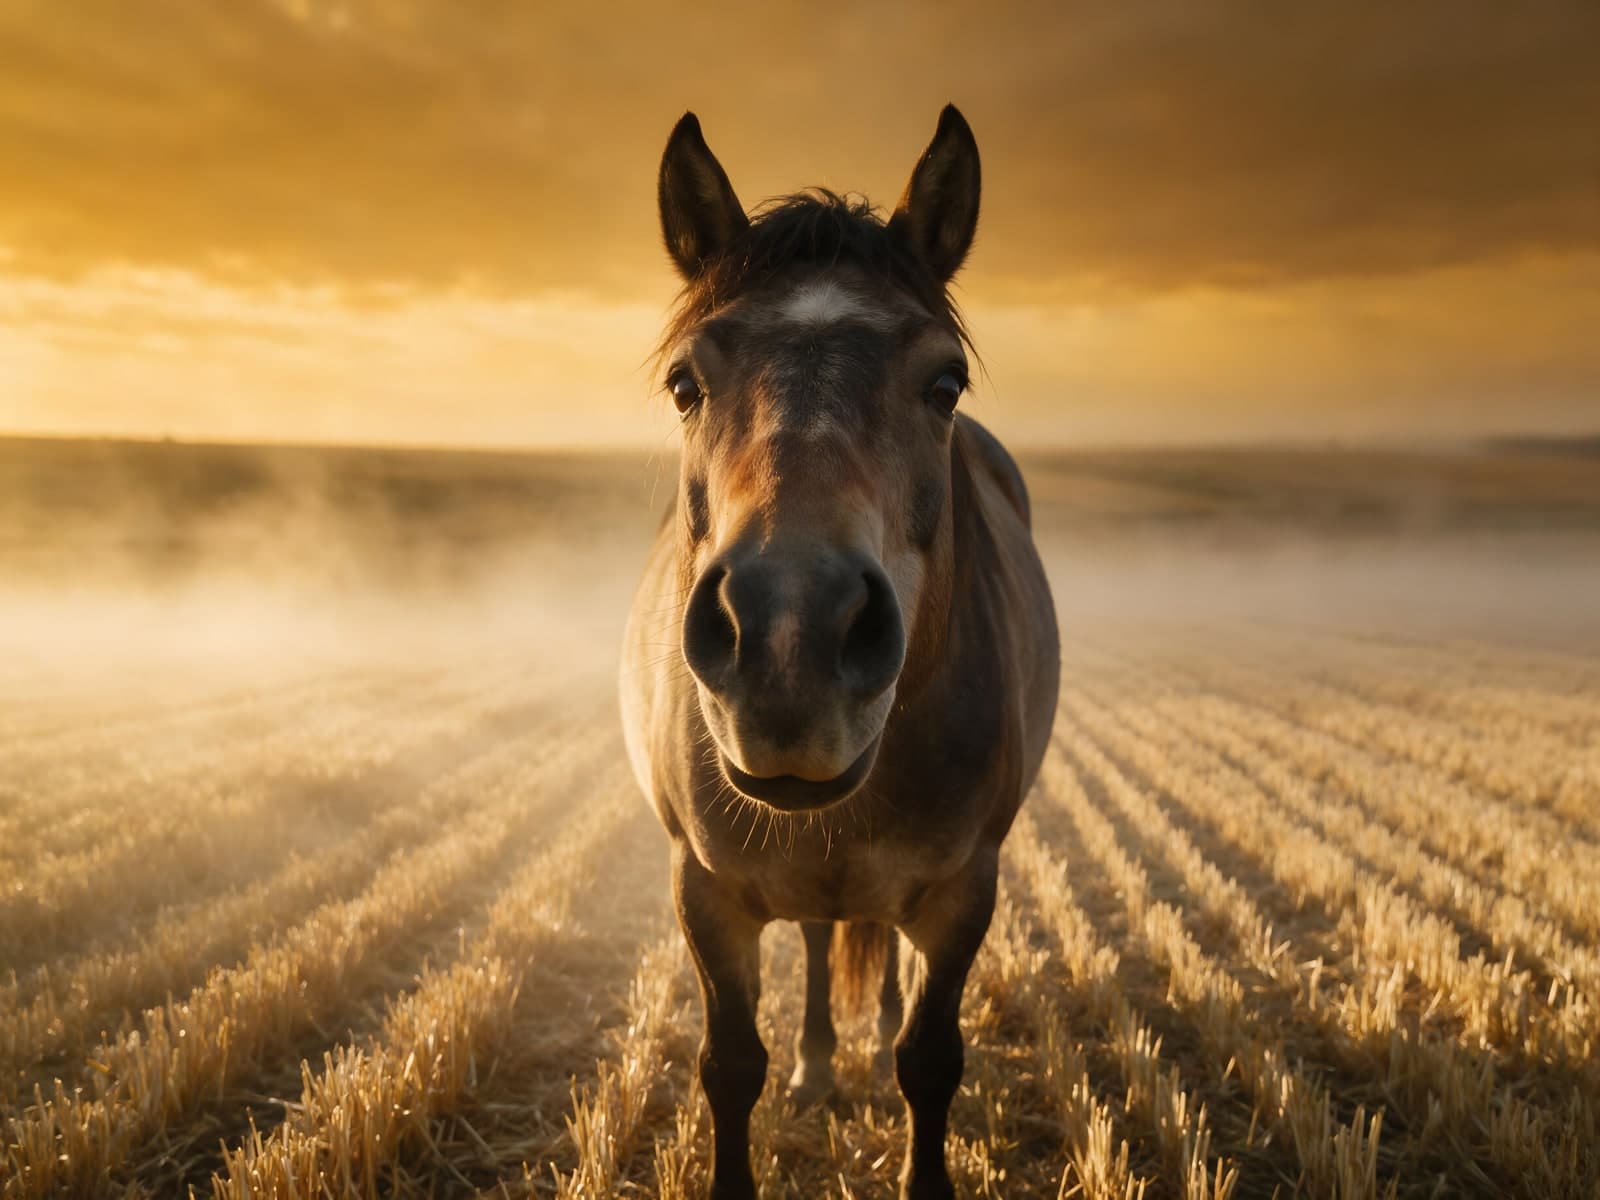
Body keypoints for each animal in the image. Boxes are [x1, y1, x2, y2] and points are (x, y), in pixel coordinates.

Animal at [620, 104, 1060, 1200]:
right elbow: (729, 1066)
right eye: (684, 383)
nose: (791, 635)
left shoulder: (963, 890)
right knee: (822, 944)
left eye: (944, 382)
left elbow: (929, 1061)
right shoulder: (704, 893)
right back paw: (819, 1068)